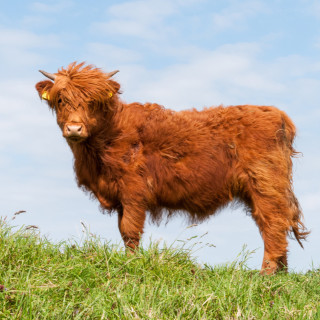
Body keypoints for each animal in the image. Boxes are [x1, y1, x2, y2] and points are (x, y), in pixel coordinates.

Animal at [36, 62, 308, 276]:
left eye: (93, 102)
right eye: (60, 100)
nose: (74, 128)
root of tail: (274, 112)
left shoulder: (134, 192)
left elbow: (130, 230)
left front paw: (131, 264)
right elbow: (123, 230)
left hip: (265, 185)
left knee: (273, 225)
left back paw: (267, 274)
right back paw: (281, 273)